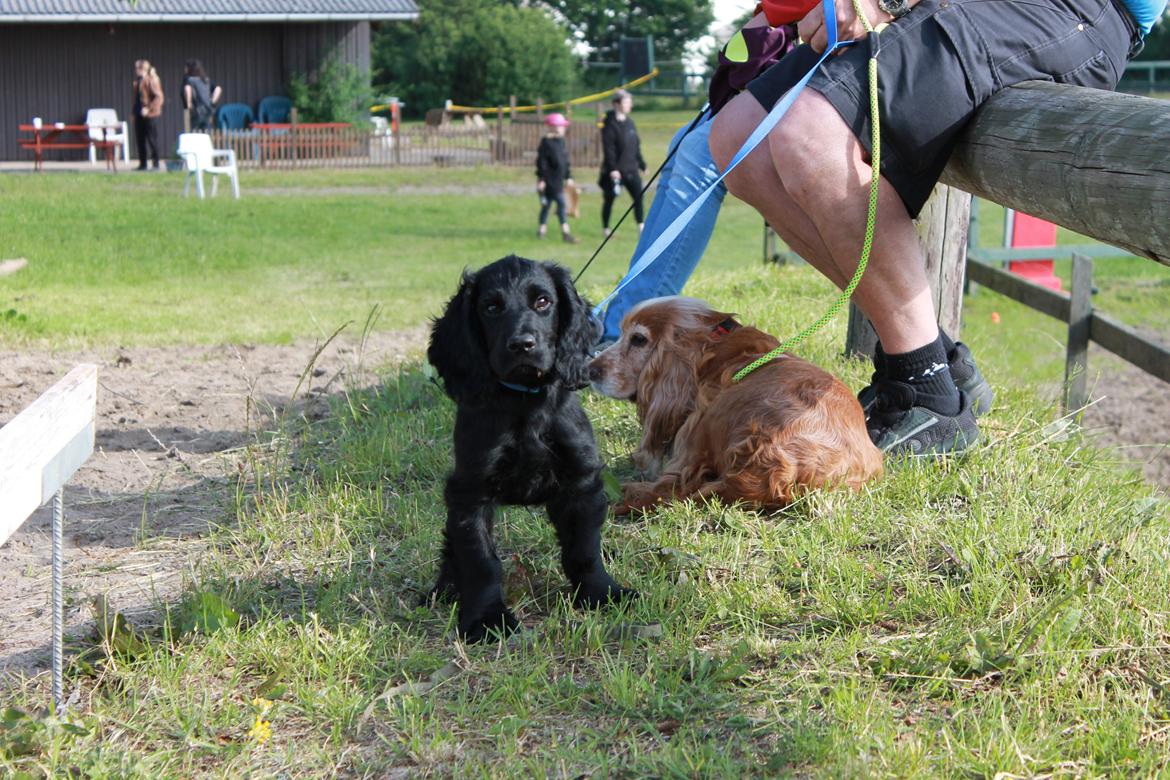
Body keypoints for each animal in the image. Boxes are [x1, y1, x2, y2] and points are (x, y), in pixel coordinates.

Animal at [428, 254, 636, 640]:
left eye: (543, 302)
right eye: (491, 307)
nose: (522, 344)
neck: (525, 402)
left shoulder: (581, 483)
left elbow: (584, 550)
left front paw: (602, 594)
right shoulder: (469, 492)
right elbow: (481, 560)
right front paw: (486, 619)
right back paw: (444, 590)